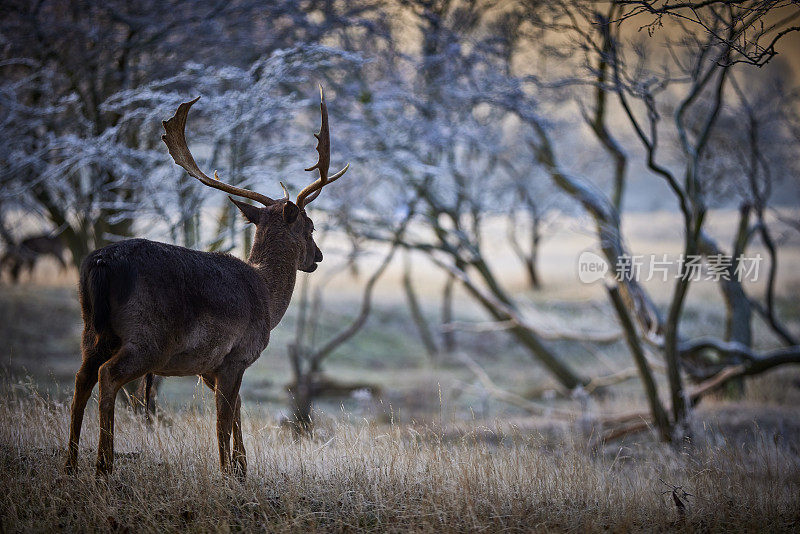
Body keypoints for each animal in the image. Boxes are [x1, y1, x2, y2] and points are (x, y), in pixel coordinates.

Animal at [65, 88, 346, 478]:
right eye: (311, 226)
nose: (317, 257)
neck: (268, 299)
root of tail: (102, 264)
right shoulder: (238, 352)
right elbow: (223, 417)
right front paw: (228, 471)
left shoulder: (211, 365)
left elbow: (237, 409)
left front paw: (242, 468)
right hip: (148, 337)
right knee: (109, 376)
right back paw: (103, 465)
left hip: (91, 329)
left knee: (81, 379)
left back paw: (70, 464)